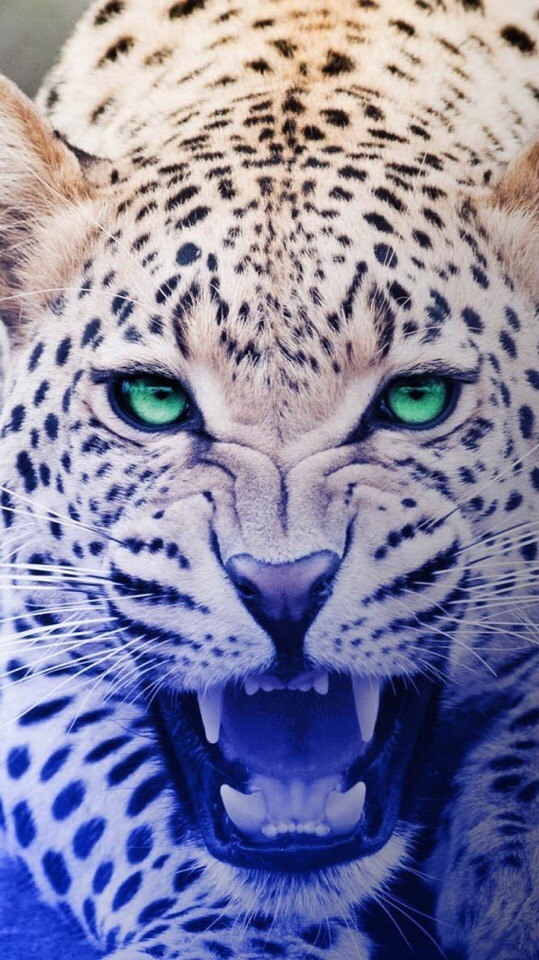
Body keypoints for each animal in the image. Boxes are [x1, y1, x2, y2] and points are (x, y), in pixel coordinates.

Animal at [0, 0, 537, 958]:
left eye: (418, 399)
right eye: (150, 400)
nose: (283, 590)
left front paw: (512, 878)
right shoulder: (26, 645)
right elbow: (118, 800)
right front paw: (236, 936)